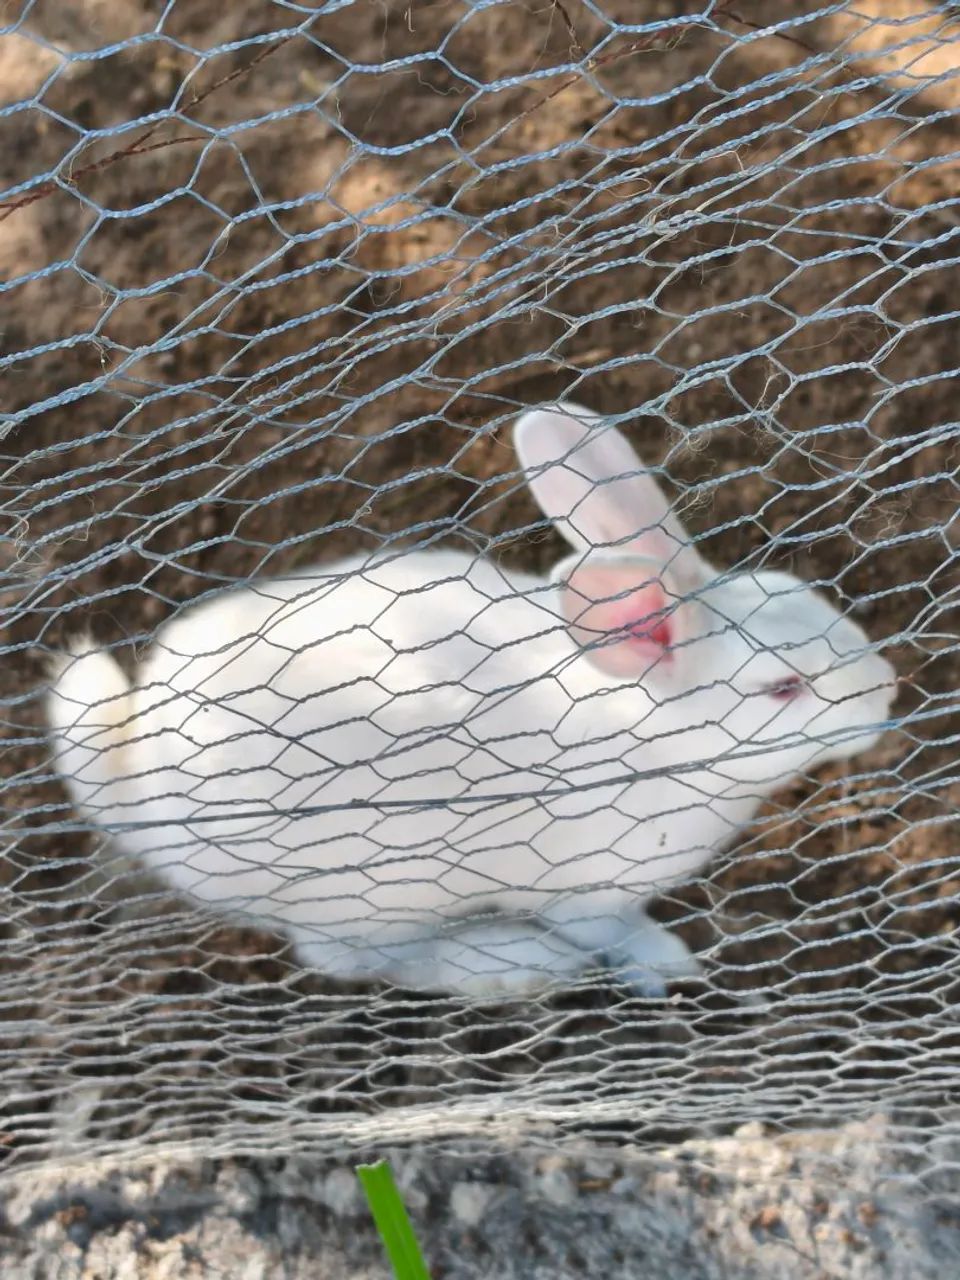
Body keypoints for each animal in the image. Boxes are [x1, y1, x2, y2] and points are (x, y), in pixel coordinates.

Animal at [45, 402, 897, 997]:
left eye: (801, 592)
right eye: (783, 687)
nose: (887, 691)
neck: (648, 732)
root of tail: (139, 783)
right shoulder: (590, 895)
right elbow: (616, 933)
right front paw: (668, 965)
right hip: (373, 896)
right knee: (357, 959)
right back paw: (514, 966)